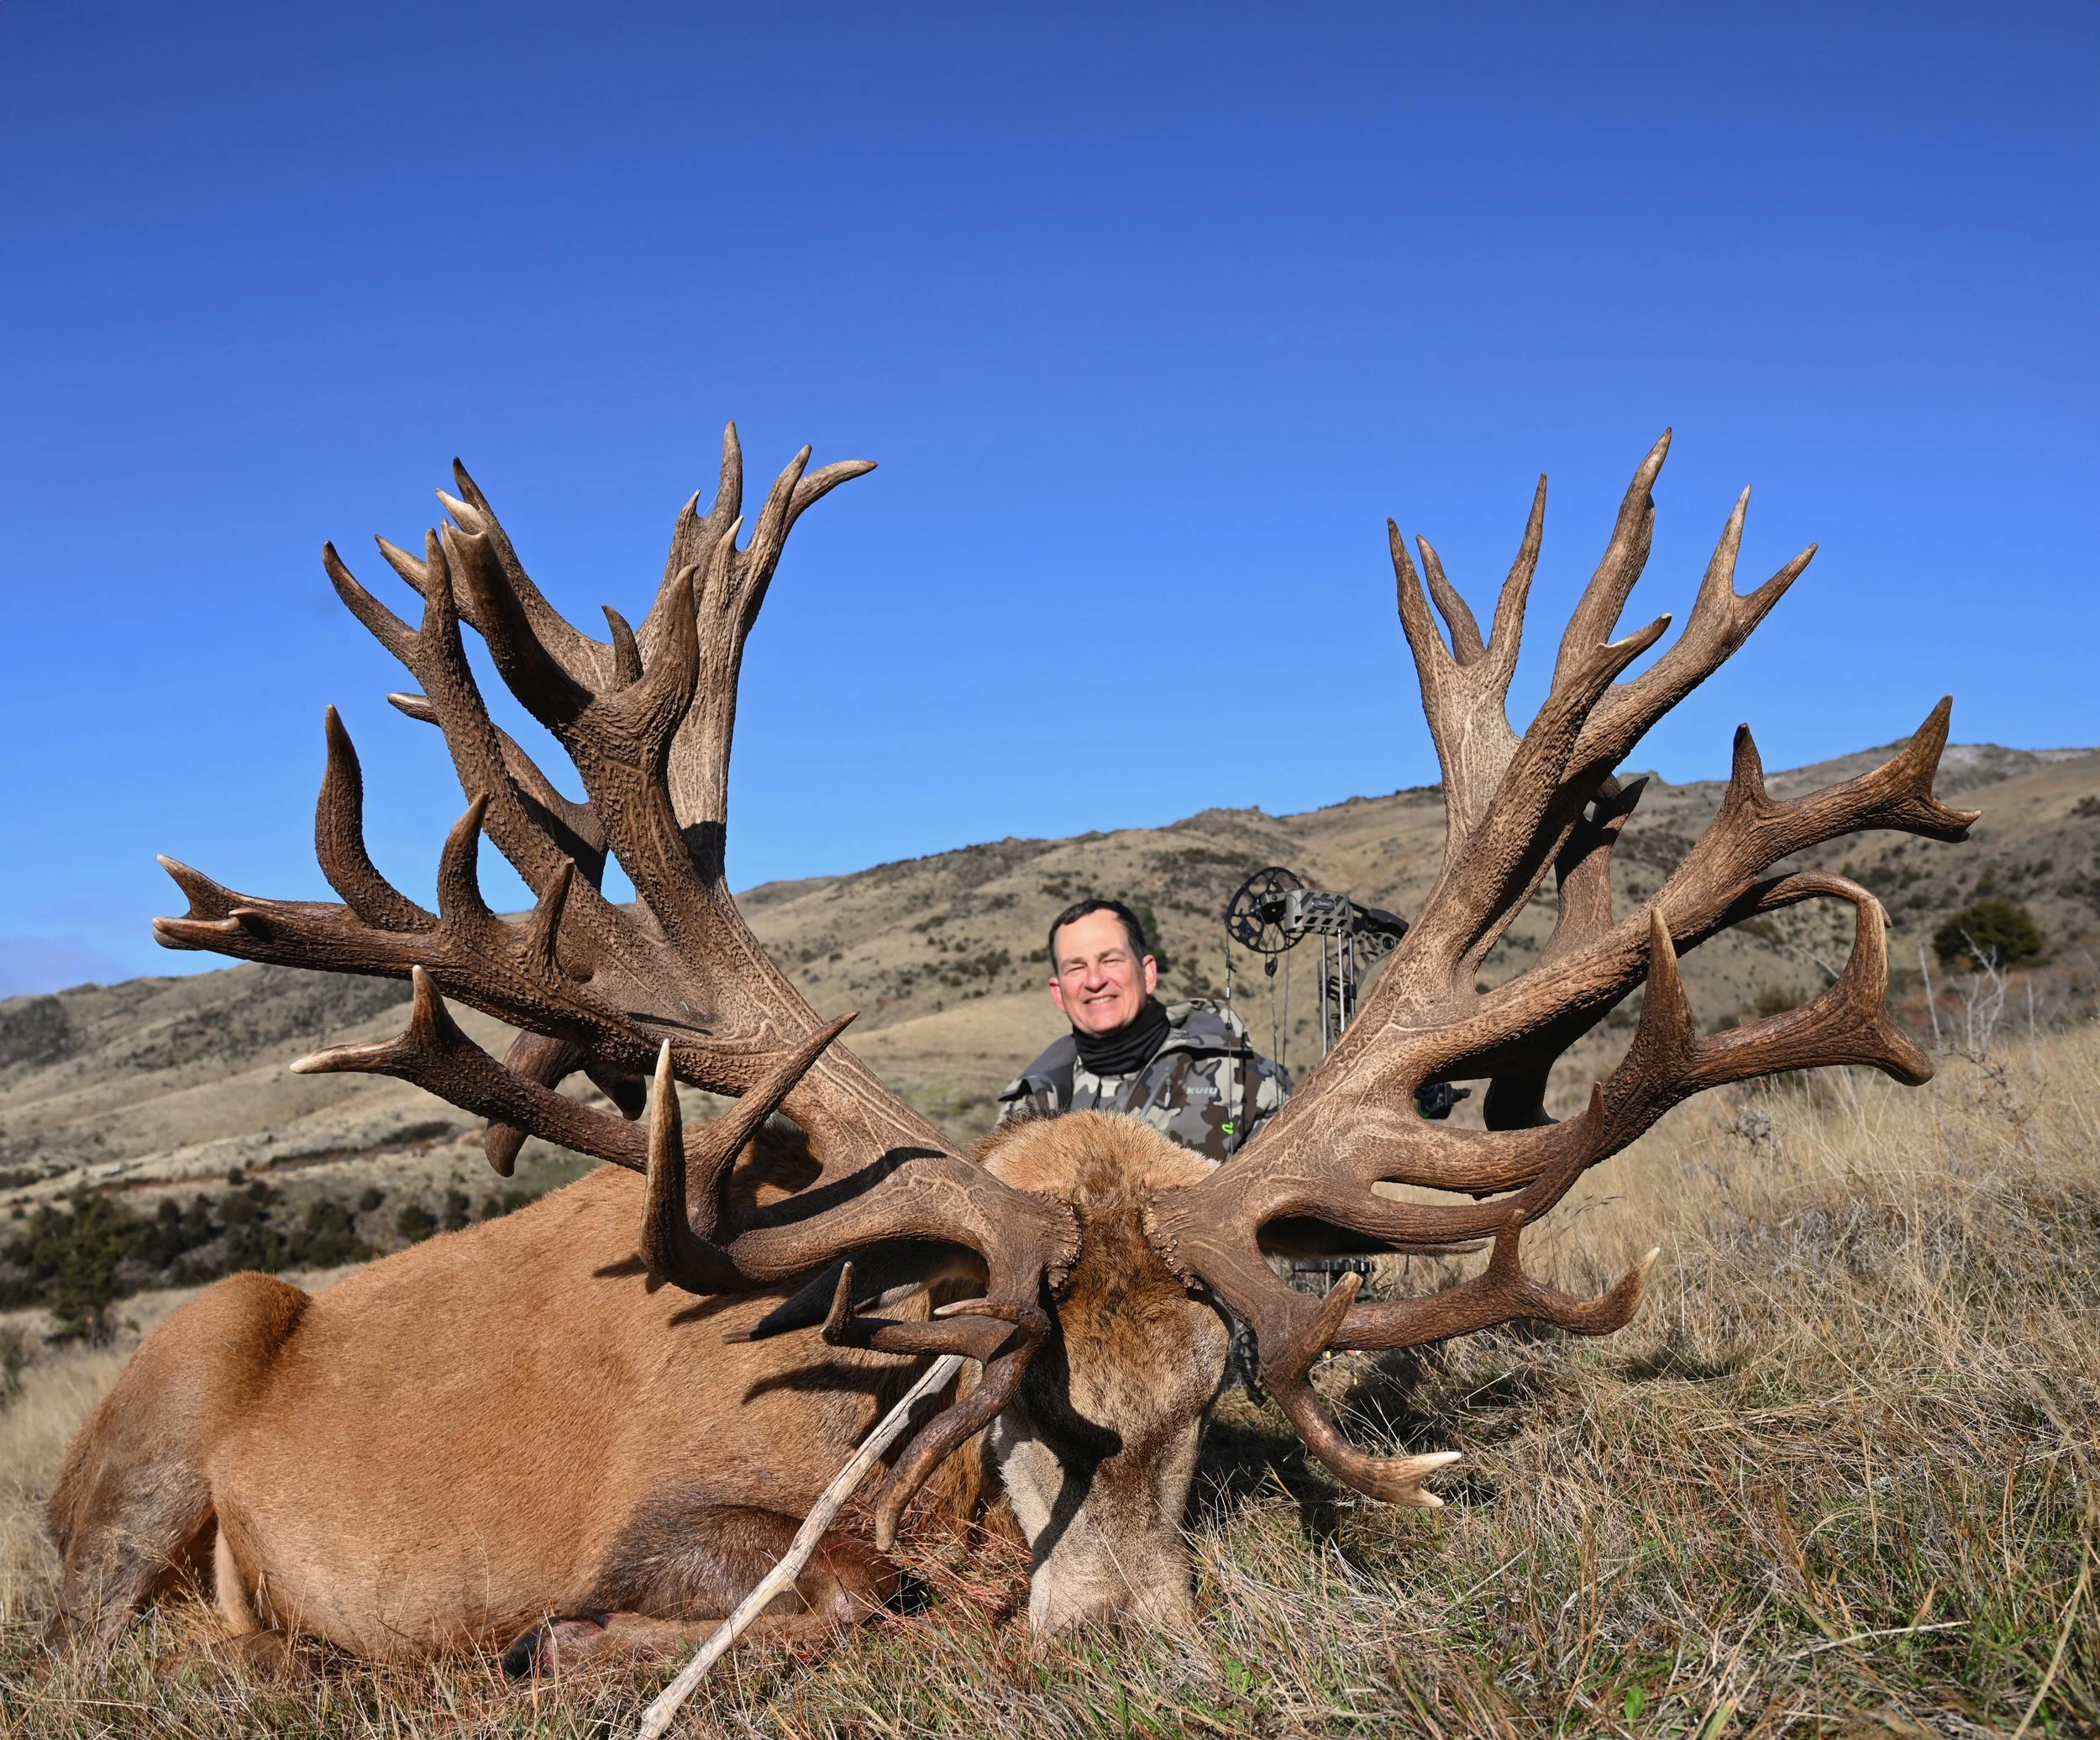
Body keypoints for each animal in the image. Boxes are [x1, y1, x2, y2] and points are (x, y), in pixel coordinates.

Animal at [46, 426, 1974, 1673]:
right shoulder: (674, 1507)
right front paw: (571, 1642)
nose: (1119, 1638)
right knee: (86, 1648)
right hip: (155, 1428)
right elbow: (798, 1590)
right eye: (1029, 1408)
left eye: (1204, 1399)